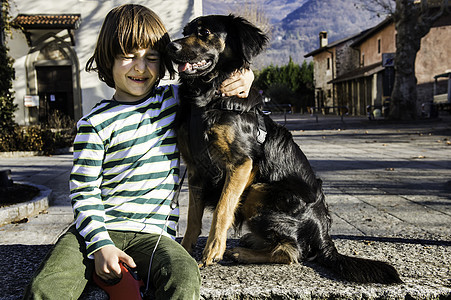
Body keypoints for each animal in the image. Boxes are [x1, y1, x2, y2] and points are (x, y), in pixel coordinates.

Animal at [169, 15, 402, 284]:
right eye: (186, 31)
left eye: (204, 32)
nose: (170, 46)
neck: (208, 97)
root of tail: (324, 235)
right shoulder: (196, 170)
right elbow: (193, 218)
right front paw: (184, 250)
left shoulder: (241, 164)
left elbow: (222, 209)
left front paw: (212, 250)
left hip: (259, 190)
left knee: (291, 252)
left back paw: (242, 252)